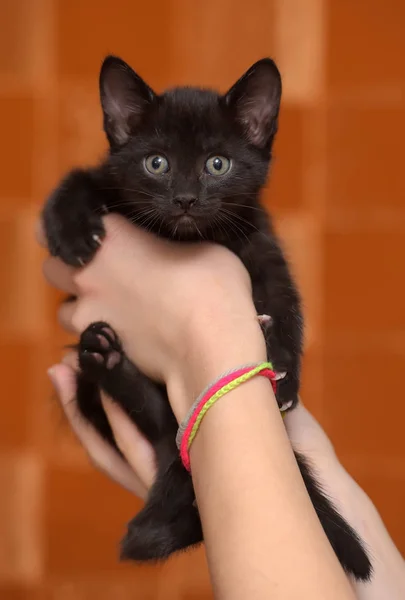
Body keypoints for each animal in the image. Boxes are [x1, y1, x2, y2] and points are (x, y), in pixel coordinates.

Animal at [42, 56, 370, 580]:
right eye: (157, 163)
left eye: (218, 164)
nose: (185, 199)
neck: (188, 239)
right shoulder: (112, 177)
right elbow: (83, 176)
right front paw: (70, 229)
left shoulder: (260, 242)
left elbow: (286, 301)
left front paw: (284, 368)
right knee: (148, 412)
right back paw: (104, 358)